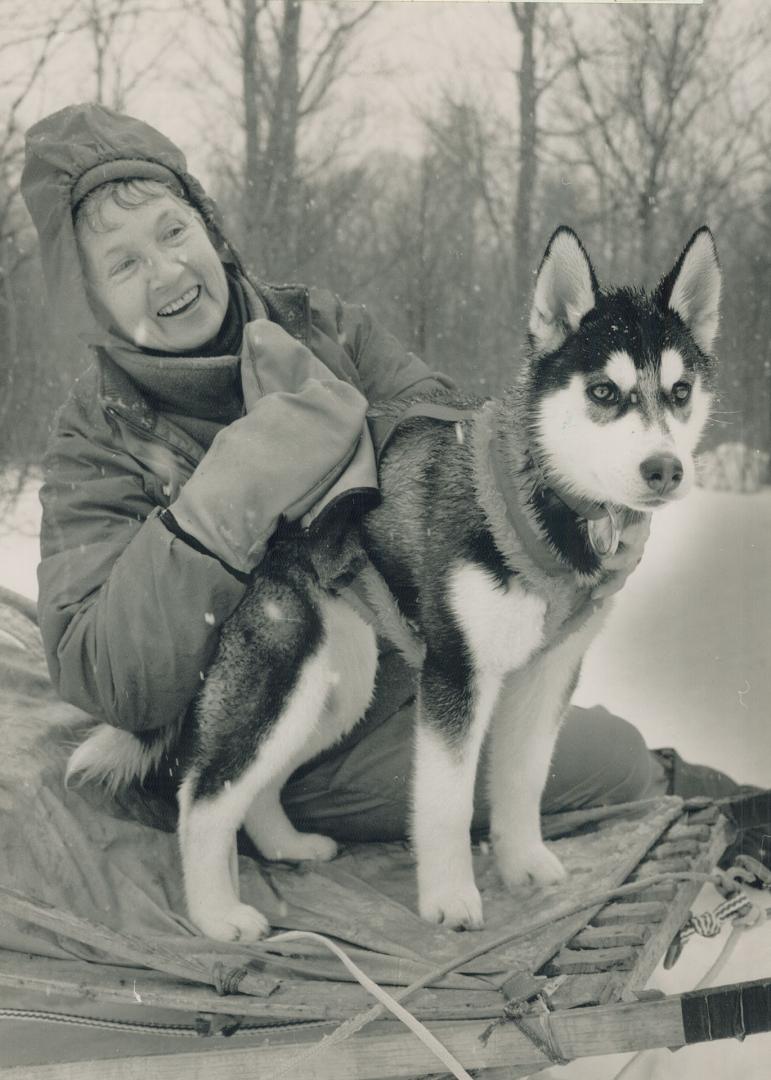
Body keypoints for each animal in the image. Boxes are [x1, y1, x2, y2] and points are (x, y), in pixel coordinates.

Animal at [67, 225, 721, 937]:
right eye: (604, 392)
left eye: (680, 392)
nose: (664, 468)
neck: (547, 503)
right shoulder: (456, 673)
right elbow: (447, 804)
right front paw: (450, 900)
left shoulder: (547, 673)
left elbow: (523, 780)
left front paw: (524, 865)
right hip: (280, 671)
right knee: (205, 798)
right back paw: (219, 916)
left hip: (335, 687)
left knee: (261, 784)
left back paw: (288, 845)